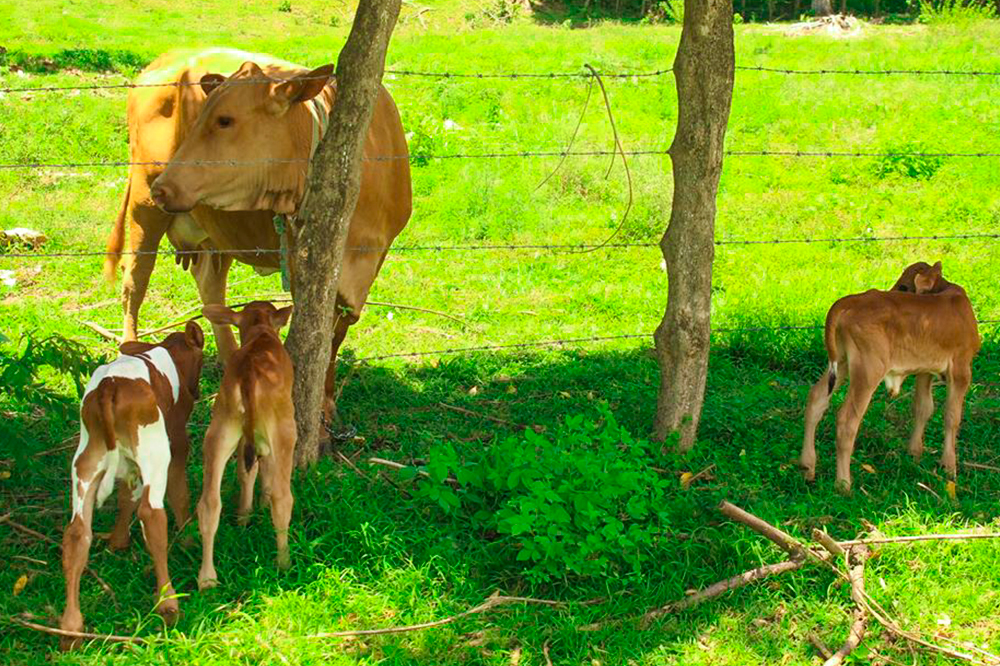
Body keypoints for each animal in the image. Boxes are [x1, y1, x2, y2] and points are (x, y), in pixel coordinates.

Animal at [59, 322, 204, 648]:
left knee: (77, 532)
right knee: (151, 515)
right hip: (155, 450)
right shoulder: (177, 439)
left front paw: (117, 541)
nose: (198, 391)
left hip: (86, 458)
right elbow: (178, 492)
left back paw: (70, 629)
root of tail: (109, 387)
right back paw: (168, 603)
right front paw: (188, 536)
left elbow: (126, 496)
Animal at [104, 46, 410, 420]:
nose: (164, 187)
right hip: (143, 202)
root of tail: (170, 57)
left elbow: (335, 335)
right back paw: (129, 349)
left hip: (216, 233)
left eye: (225, 120)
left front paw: (327, 399)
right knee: (135, 281)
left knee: (210, 286)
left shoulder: (371, 263)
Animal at [196, 300, 296, 588]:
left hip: (220, 428)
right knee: (282, 497)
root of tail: (250, 375)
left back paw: (207, 579)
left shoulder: (244, 437)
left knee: (209, 503)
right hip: (285, 429)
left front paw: (245, 515)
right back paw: (284, 562)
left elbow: (246, 471)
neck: (260, 332)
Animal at [800, 262, 980, 490]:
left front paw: (914, 454)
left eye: (903, 286)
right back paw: (843, 484)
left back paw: (807, 467)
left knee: (816, 399)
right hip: (868, 369)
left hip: (840, 362)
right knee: (847, 419)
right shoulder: (961, 368)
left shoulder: (925, 371)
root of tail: (849, 300)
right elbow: (952, 416)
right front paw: (949, 468)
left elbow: (923, 408)